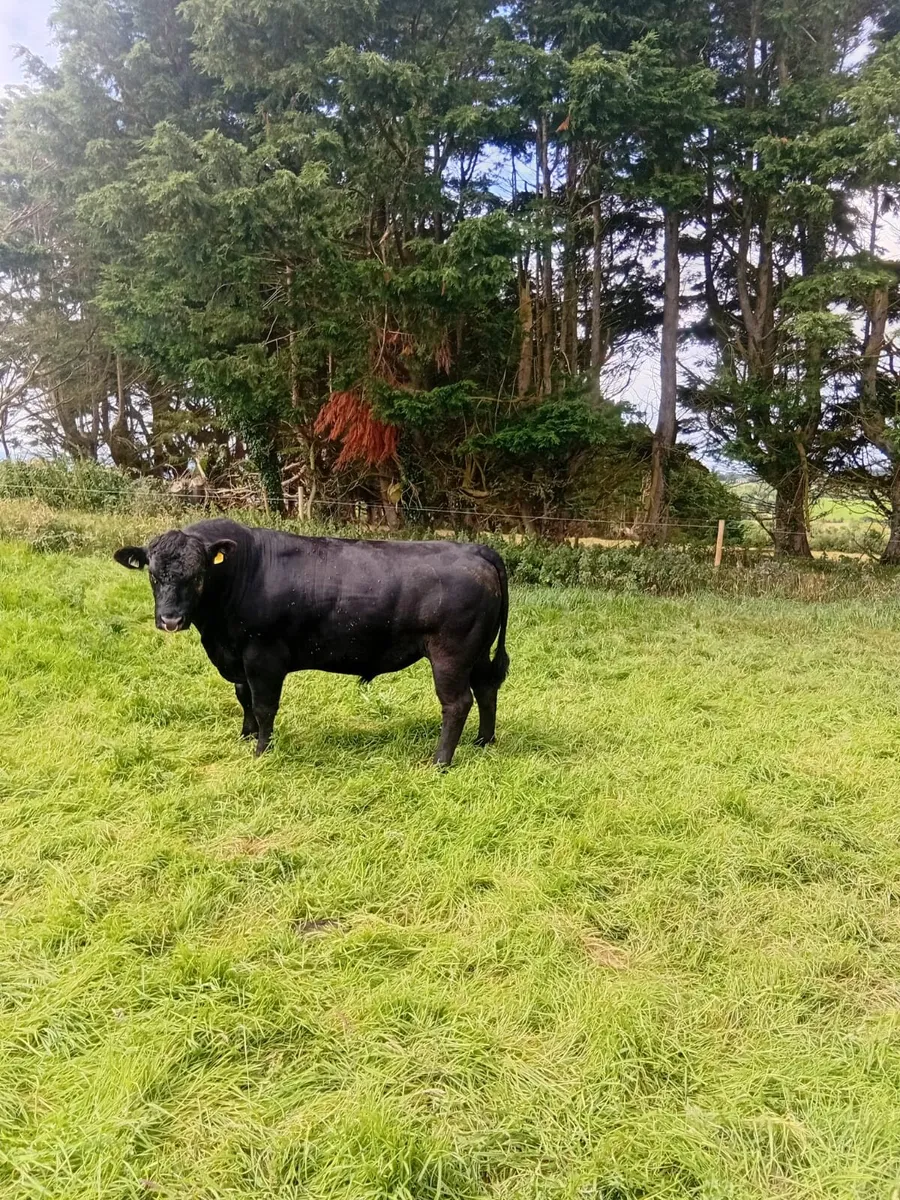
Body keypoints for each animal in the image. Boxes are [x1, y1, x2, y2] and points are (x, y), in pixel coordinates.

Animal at [113, 519, 509, 767]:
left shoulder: (262, 656)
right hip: (476, 652)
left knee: (457, 703)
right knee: (486, 689)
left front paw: (261, 750)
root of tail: (475, 550)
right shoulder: (238, 657)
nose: (170, 620)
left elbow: (263, 706)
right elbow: (243, 698)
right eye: (153, 574)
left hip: (451, 654)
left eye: (198, 575)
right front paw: (245, 736)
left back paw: (440, 761)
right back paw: (482, 741)